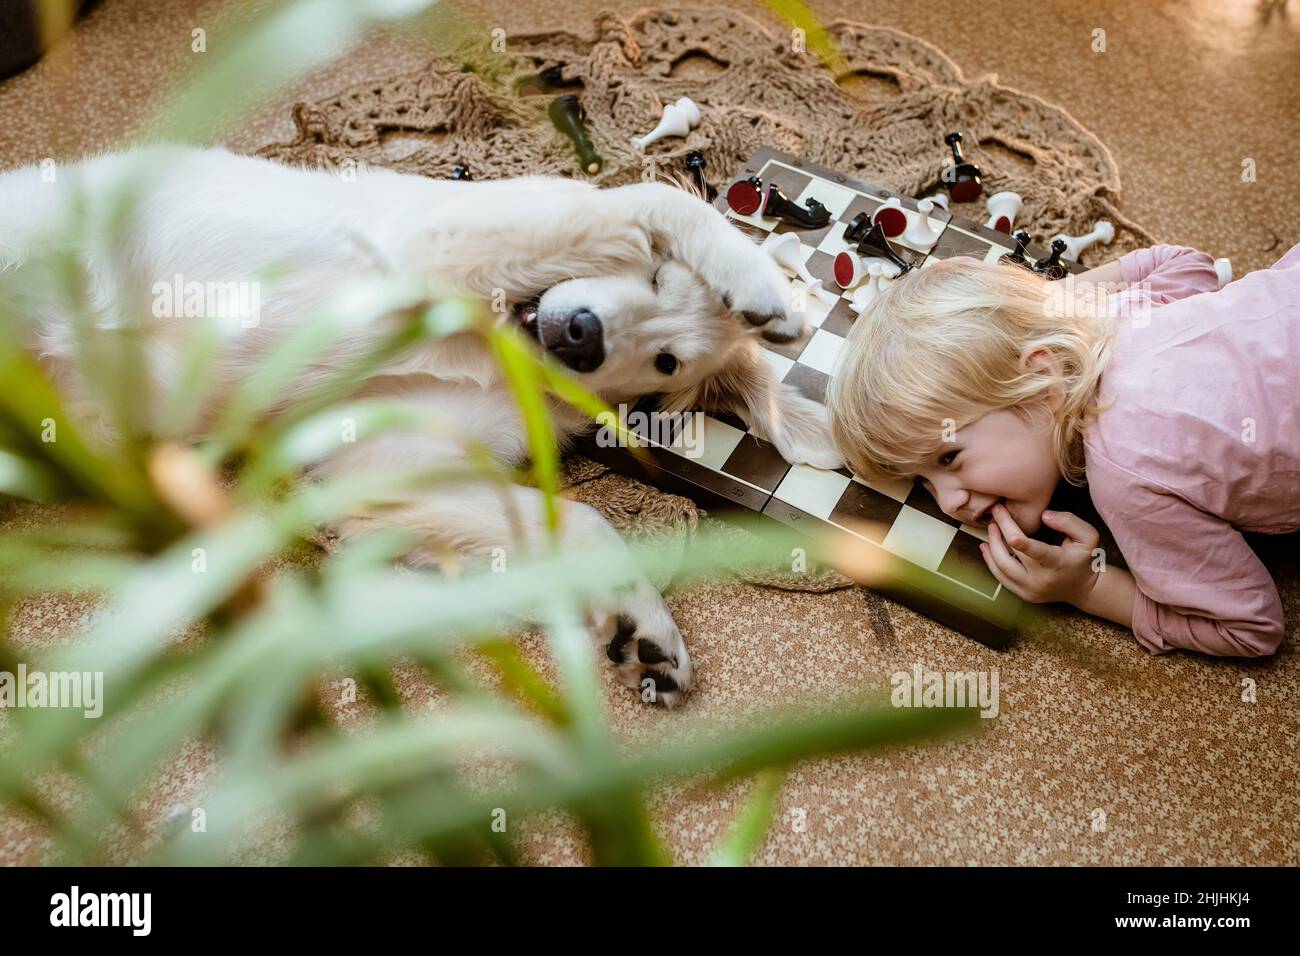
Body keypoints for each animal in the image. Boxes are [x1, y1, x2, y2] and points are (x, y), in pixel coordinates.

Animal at [0, 145, 842, 707]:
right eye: (660, 278)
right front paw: (761, 282)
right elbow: (650, 203)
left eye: (667, 362)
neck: (497, 338)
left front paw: (642, 627)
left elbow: (583, 521)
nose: (581, 336)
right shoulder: (432, 239)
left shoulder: (378, 456)